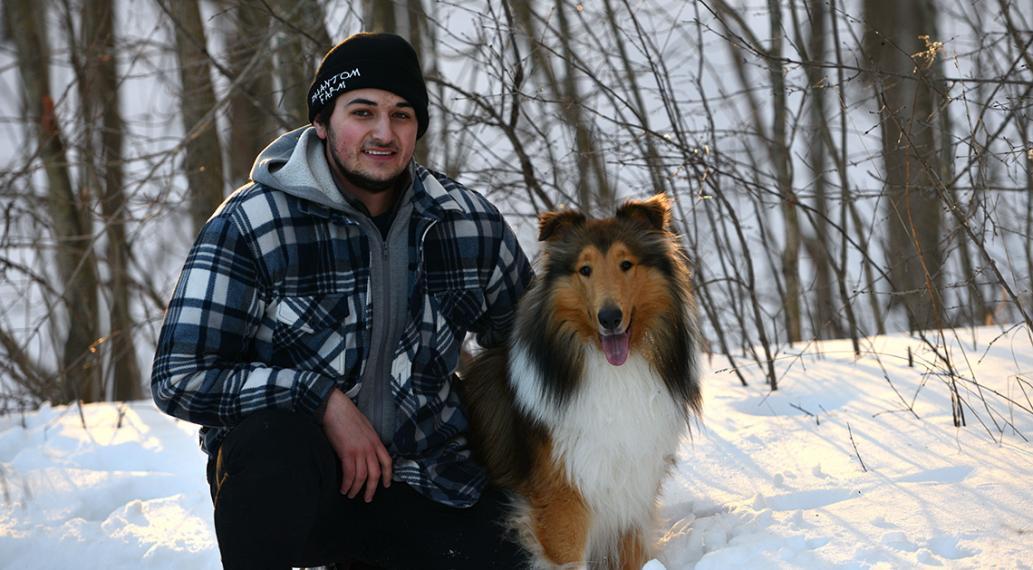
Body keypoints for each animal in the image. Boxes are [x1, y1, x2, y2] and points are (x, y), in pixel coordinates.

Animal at [460, 194, 702, 565]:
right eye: (584, 270)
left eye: (626, 264)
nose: (610, 318)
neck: (614, 374)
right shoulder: (564, 502)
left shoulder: (631, 493)